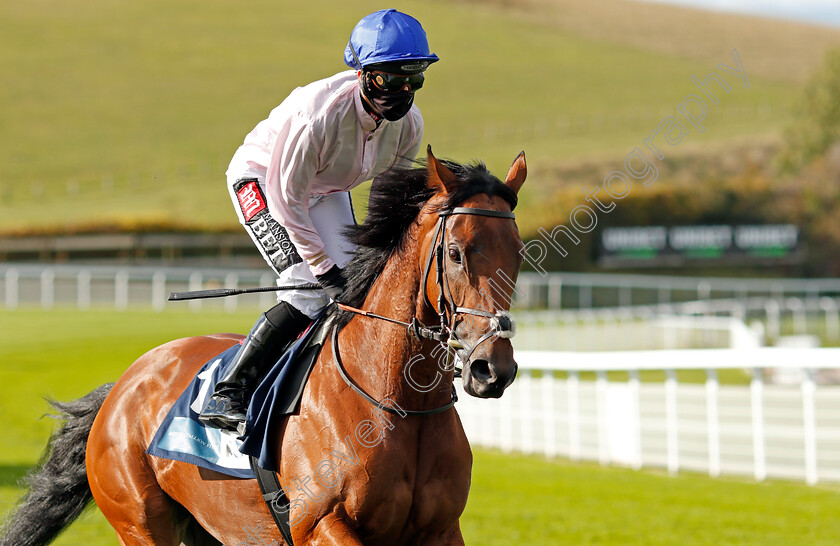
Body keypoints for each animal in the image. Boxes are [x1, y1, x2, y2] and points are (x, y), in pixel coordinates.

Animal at [0, 147, 524, 540]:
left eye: (518, 254)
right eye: (455, 253)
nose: (492, 369)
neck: (395, 402)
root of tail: (123, 385)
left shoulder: (440, 529)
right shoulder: (320, 524)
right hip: (141, 522)